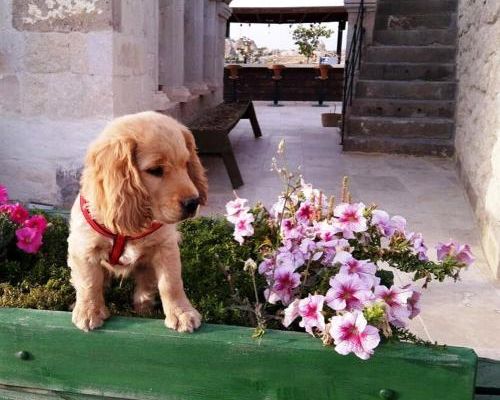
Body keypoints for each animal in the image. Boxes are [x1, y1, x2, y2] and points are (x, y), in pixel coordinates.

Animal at [67, 111, 207, 332]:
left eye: (186, 164)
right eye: (155, 170)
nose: (194, 202)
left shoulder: (166, 246)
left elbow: (171, 283)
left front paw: (182, 313)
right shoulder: (83, 249)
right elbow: (89, 282)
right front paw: (89, 311)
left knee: (146, 284)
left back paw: (144, 307)